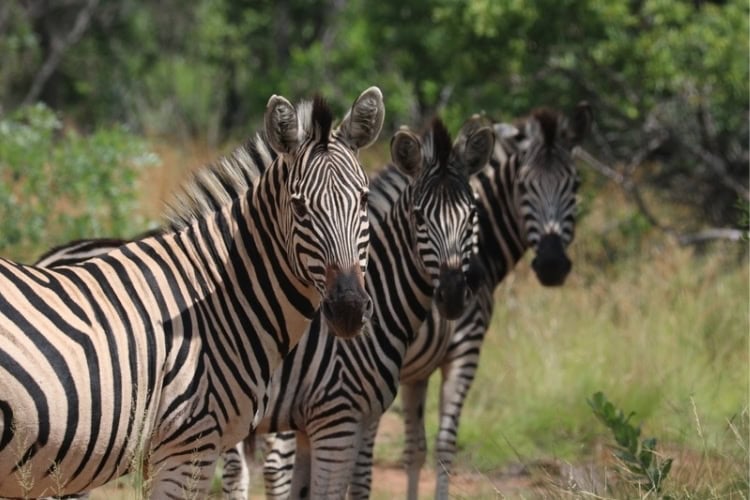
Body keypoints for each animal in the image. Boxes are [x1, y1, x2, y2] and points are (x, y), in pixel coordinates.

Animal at [0, 87, 385, 498]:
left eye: (364, 199)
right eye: (299, 207)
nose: (348, 308)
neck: (218, 304)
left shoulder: (162, 454)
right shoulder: (188, 445)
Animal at [392, 102, 593, 500]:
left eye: (575, 185)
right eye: (525, 186)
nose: (551, 265)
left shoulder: (414, 372)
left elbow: (415, 449)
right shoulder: (464, 348)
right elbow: (445, 445)